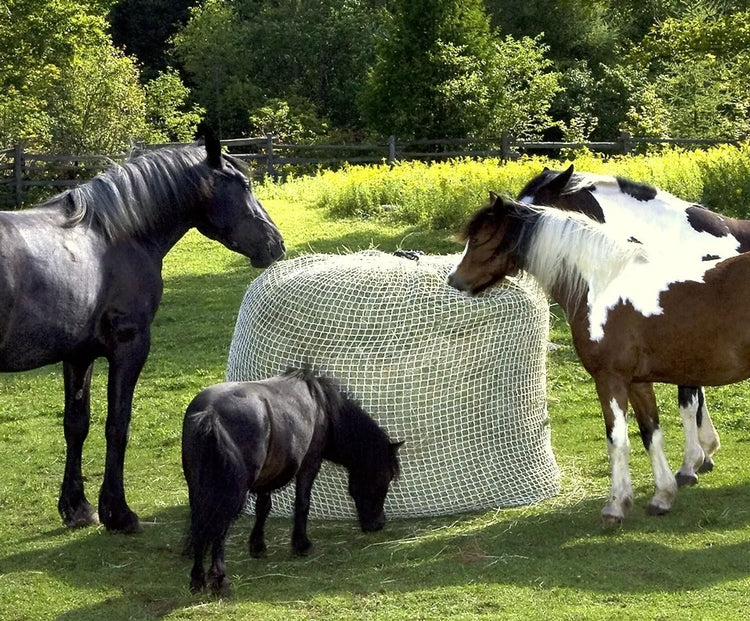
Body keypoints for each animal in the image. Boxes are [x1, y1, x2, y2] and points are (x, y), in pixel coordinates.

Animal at [0, 131, 284, 532]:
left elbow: (76, 425)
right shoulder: (130, 347)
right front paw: (118, 512)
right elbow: (117, 425)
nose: (276, 243)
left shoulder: (78, 355)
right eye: (242, 185)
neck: (113, 237)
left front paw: (78, 507)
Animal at [183, 368, 406, 596]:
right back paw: (219, 580)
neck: (322, 407)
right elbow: (302, 503)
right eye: (386, 476)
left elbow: (263, 507)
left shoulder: (267, 477)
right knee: (219, 529)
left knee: (199, 522)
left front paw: (258, 546)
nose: (378, 524)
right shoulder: (310, 464)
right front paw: (301, 544)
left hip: (198, 488)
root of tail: (210, 414)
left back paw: (197, 579)